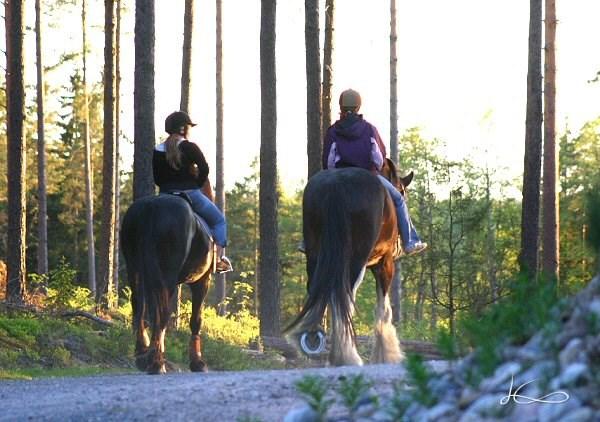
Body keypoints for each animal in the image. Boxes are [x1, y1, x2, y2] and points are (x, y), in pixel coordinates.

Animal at [119, 193, 213, 374]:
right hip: (166, 276)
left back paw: (144, 353)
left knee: (139, 306)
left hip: (135, 269)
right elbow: (196, 319)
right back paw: (156, 362)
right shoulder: (202, 281)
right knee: (161, 314)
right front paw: (197, 362)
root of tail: (151, 206)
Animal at [288, 158, 412, 366]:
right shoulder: (384, 263)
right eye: (402, 191)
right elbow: (383, 309)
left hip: (316, 257)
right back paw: (347, 356)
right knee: (344, 297)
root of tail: (336, 185)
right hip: (355, 260)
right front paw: (387, 355)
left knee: (321, 293)